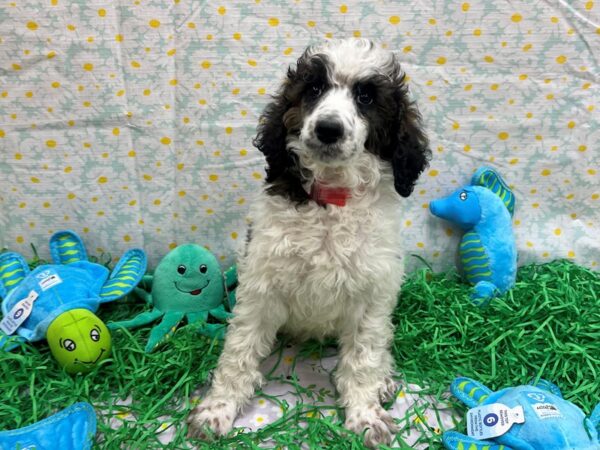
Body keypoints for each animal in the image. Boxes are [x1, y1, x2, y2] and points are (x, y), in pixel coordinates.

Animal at [190, 38, 428, 446]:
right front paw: (216, 410)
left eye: (366, 97)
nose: (328, 129)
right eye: (314, 89)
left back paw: (383, 380)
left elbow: (363, 357)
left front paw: (365, 415)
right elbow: (239, 351)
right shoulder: (261, 285)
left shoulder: (372, 293)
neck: (330, 199)